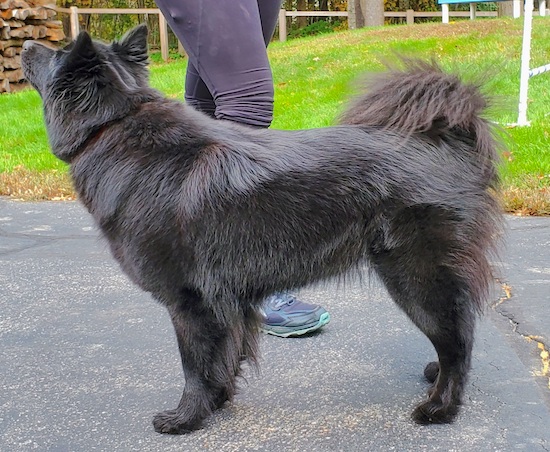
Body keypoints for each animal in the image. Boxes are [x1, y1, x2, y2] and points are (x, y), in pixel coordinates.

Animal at [22, 25, 504, 434]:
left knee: (458, 339)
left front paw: (185, 418)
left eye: (57, 53)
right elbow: (223, 358)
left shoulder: (190, 301)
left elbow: (194, 365)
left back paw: (439, 407)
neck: (113, 125)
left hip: (416, 275)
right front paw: (217, 402)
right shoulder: (224, 302)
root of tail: (448, 141)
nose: (26, 44)